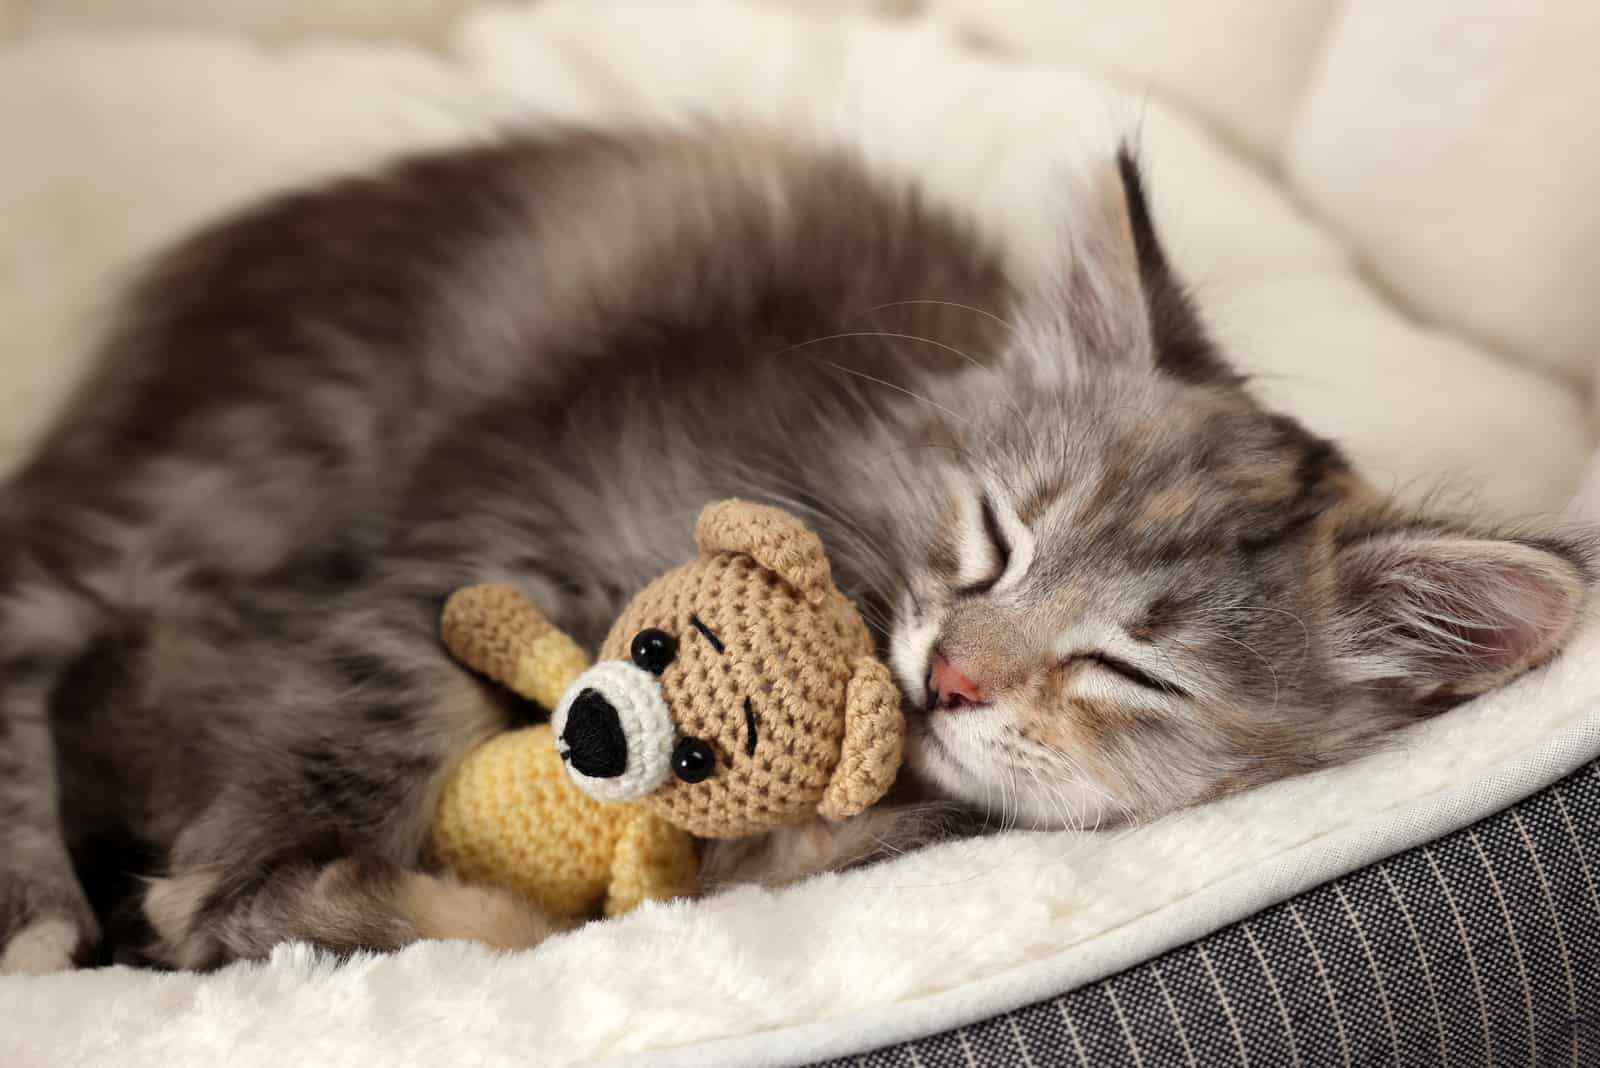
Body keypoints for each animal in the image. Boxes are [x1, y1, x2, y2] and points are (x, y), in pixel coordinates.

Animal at [0, 127, 1587, 978]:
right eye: (996, 538)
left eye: (1129, 670)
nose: (953, 678)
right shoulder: (485, 526)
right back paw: (38, 918)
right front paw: (263, 879)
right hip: (246, 462)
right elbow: (332, 775)